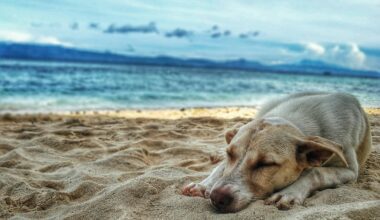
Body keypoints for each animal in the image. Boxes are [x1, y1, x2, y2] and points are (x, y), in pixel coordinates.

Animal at [181, 92, 372, 212]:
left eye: (265, 164)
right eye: (230, 154)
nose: (216, 197)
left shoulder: (350, 170)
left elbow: (316, 172)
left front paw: (290, 192)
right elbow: (221, 168)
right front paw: (204, 184)